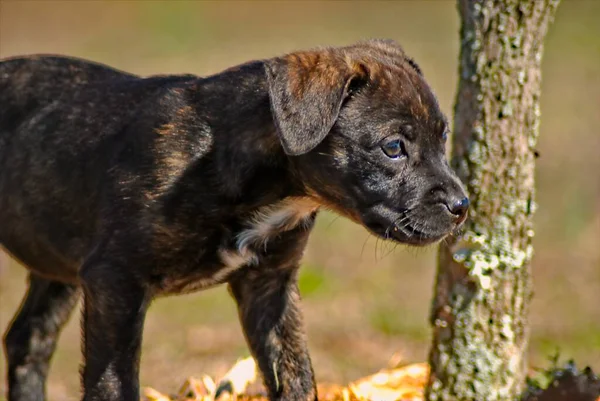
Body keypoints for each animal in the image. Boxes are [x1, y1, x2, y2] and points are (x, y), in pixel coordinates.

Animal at [0, 38, 468, 400]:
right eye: (393, 147)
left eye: (443, 137)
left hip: (58, 261)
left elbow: (296, 376)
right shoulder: (114, 281)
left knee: (29, 338)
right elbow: (113, 384)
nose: (462, 205)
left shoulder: (270, 288)